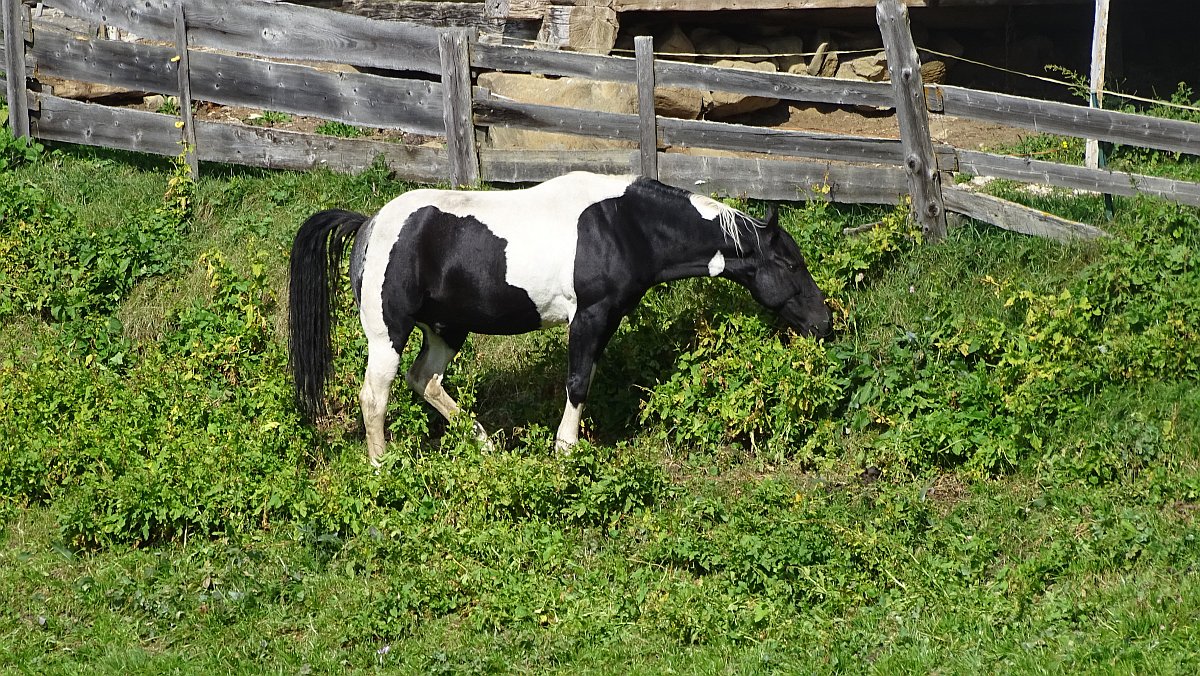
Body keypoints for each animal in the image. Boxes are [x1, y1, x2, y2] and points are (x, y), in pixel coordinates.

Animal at [290, 170, 835, 465]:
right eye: (791, 265)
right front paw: (566, 451)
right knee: (375, 395)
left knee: (425, 380)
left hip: (446, 330)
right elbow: (578, 382)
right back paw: (383, 465)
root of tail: (370, 224)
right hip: (389, 334)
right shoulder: (590, 318)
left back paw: (485, 445)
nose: (824, 322)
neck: (623, 225)